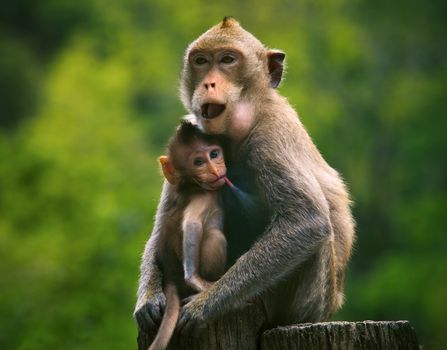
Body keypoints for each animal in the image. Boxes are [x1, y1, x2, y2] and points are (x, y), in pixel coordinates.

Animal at [150, 119, 229, 350]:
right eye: (199, 162)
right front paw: (195, 280)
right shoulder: (204, 196)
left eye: (214, 154)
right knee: (215, 236)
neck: (191, 184)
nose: (215, 169)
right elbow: (192, 225)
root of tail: (171, 276)